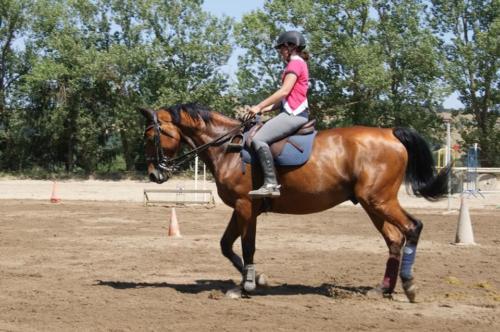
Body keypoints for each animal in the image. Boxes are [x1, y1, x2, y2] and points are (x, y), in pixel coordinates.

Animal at [138, 102, 450, 302]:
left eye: (151, 136)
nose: (154, 174)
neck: (228, 147)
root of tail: (389, 133)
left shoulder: (245, 206)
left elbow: (247, 246)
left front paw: (246, 286)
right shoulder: (242, 208)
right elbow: (226, 245)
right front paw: (257, 279)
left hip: (379, 200)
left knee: (412, 227)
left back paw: (408, 285)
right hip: (371, 204)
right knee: (394, 239)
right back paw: (382, 289)